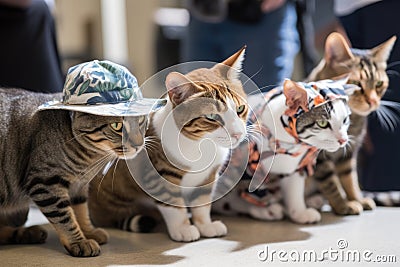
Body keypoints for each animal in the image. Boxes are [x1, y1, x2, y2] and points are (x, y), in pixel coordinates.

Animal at [0, 60, 166, 258]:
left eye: (140, 121)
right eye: (117, 125)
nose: (139, 143)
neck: (89, 161)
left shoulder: (79, 186)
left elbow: (80, 211)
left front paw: (88, 232)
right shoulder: (45, 182)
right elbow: (64, 216)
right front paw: (78, 241)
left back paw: (30, 233)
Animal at [89, 47, 248, 243]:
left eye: (240, 109)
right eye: (212, 117)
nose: (238, 134)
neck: (202, 144)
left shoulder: (209, 176)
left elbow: (202, 203)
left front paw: (205, 225)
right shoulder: (159, 175)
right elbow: (173, 204)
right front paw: (183, 228)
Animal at [212, 77, 356, 224]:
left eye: (345, 120)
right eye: (323, 123)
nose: (343, 140)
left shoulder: (296, 167)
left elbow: (295, 189)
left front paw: (299, 212)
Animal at [304, 31, 396, 216]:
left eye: (379, 84)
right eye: (355, 84)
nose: (373, 101)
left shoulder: (349, 155)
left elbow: (350, 180)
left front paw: (357, 199)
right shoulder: (319, 158)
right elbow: (331, 184)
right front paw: (343, 205)